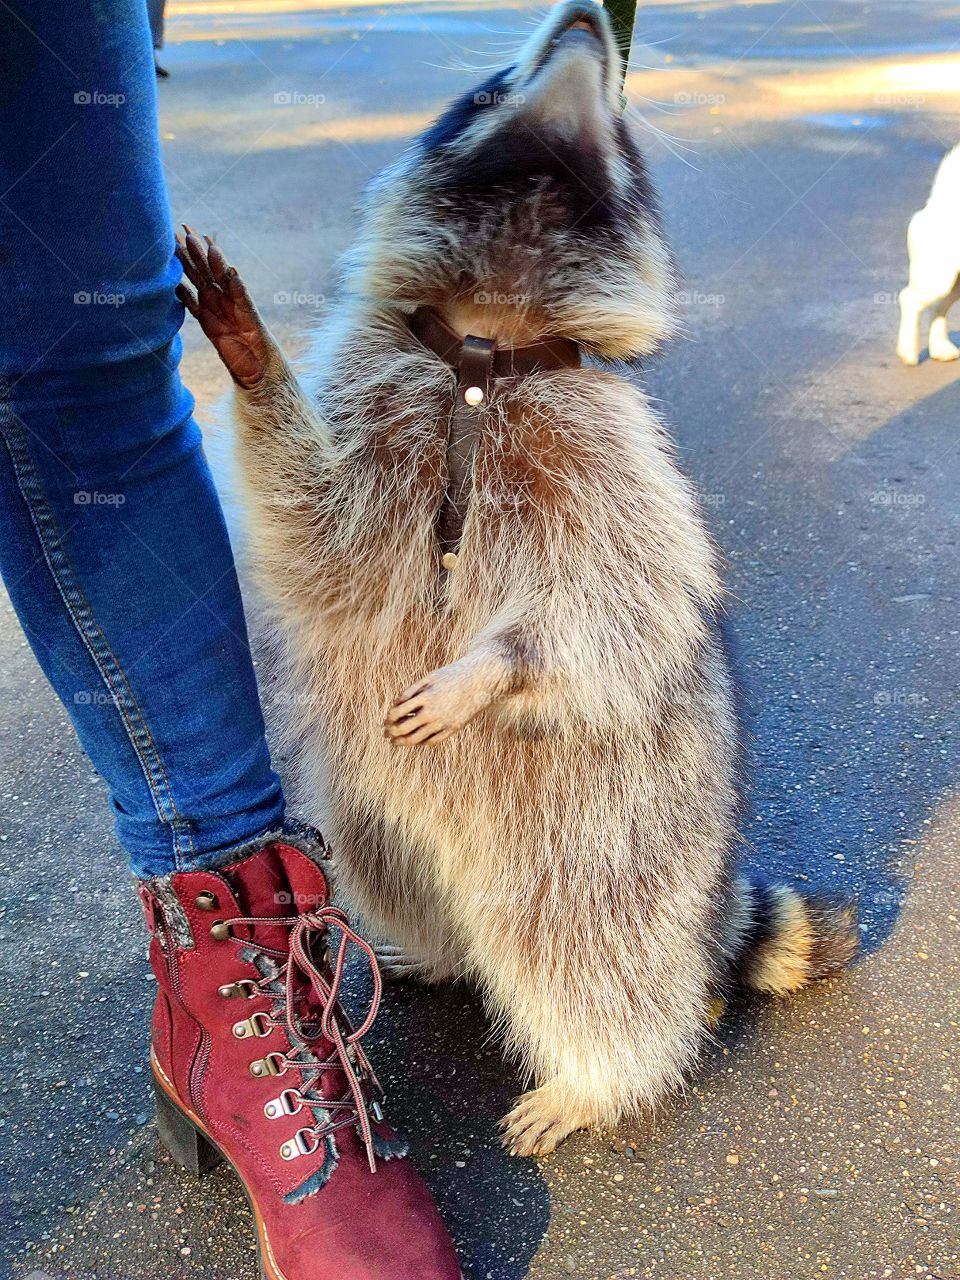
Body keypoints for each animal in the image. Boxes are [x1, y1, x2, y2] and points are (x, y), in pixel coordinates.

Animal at [177, 0, 857, 1157]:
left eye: (617, 124)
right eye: (494, 88)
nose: (589, 19)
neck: (488, 337)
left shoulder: (608, 451)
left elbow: (619, 597)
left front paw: (496, 667)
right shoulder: (385, 394)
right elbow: (316, 526)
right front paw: (253, 362)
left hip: (609, 837)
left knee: (592, 957)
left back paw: (600, 1076)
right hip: (372, 816)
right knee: (400, 876)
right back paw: (436, 945)